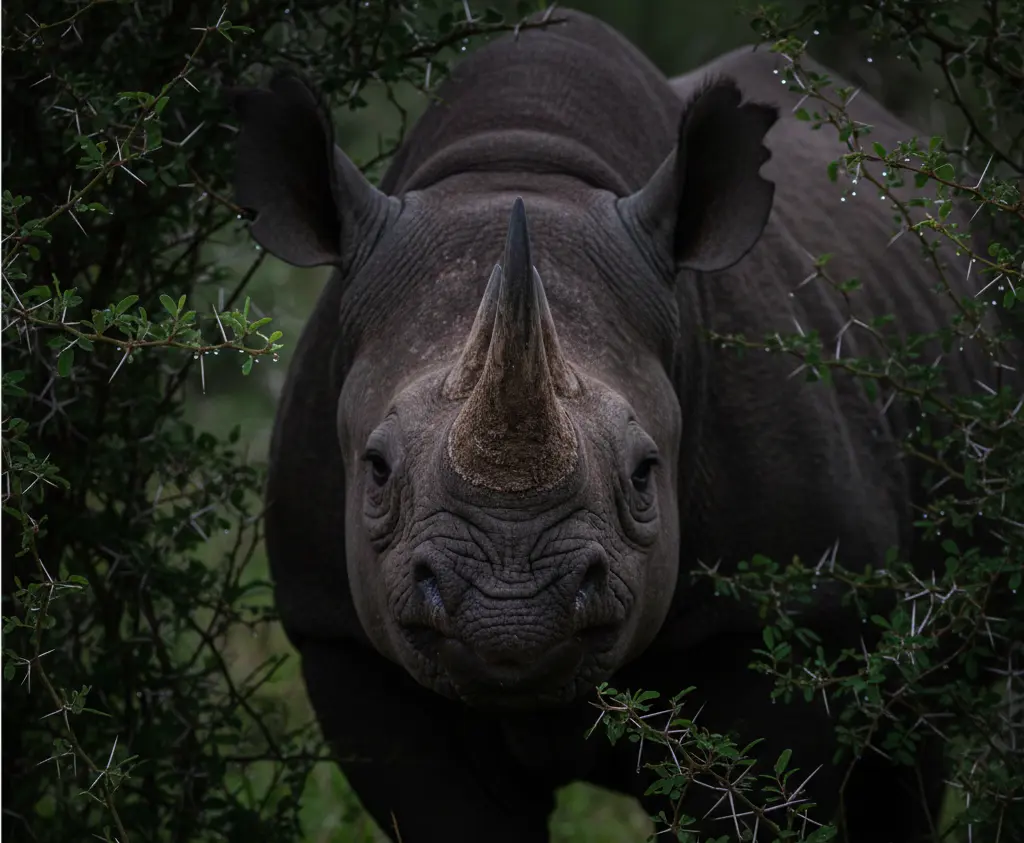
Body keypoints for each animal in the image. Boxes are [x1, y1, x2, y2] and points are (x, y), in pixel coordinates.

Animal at [229, 8, 1014, 842]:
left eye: (644, 473)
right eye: (375, 468)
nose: (511, 609)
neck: (520, 161)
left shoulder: (789, 615)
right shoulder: (339, 636)